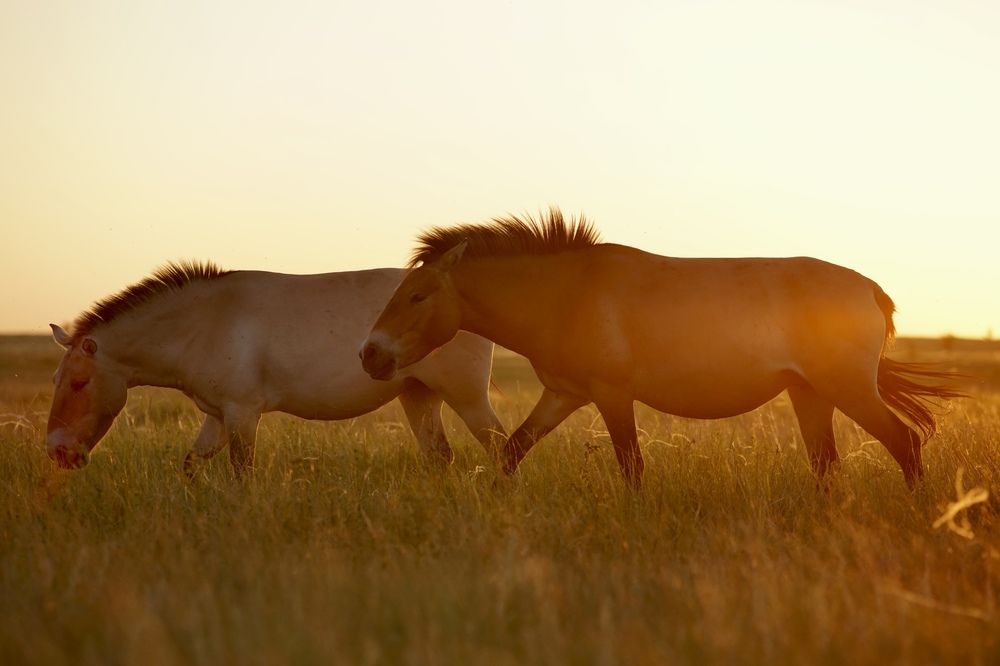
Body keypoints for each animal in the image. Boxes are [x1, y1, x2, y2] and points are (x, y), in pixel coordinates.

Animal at [46, 262, 506, 476]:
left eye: (80, 382)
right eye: (56, 380)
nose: (57, 451)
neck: (205, 321)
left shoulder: (242, 413)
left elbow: (242, 473)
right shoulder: (217, 416)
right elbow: (192, 464)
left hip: (467, 397)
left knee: (500, 446)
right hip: (417, 396)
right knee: (440, 456)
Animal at [360, 209, 963, 489]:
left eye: (417, 295)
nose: (370, 354)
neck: (566, 294)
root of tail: (869, 289)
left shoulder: (612, 394)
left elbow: (632, 466)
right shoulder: (563, 396)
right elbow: (511, 452)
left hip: (847, 388)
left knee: (905, 443)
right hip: (809, 393)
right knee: (826, 464)